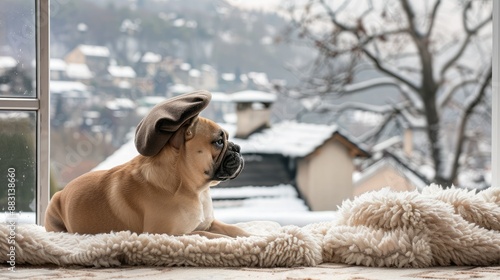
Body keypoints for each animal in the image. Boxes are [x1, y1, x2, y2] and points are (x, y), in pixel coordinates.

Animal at [45, 91, 250, 238]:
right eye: (219, 142)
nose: (238, 148)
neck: (194, 188)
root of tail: (63, 191)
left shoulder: (210, 222)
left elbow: (233, 229)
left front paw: (249, 236)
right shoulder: (168, 233)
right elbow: (205, 235)